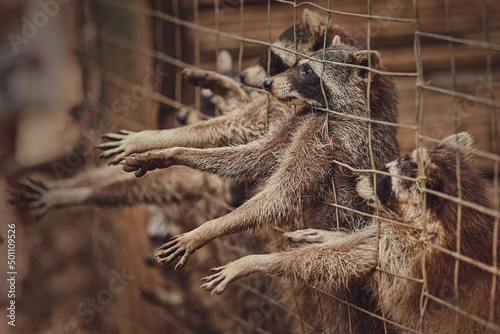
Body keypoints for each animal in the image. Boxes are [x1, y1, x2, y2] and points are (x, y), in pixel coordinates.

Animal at [201, 133, 500, 334]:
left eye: (385, 178)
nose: (356, 179)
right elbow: (358, 244)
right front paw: (325, 235)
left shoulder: (409, 254)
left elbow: (341, 263)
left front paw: (254, 262)